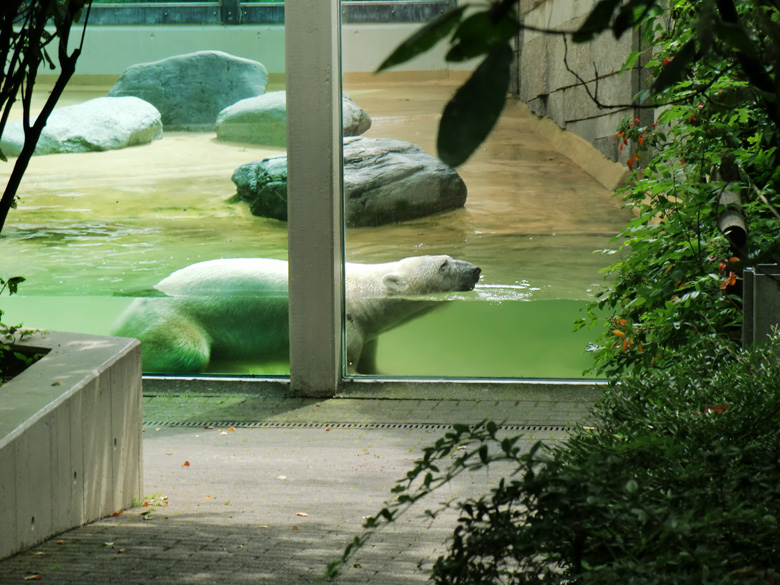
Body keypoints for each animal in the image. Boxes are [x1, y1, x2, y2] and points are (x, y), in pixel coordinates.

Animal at [112, 254, 478, 374]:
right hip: (171, 318)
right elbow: (349, 362)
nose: (475, 269)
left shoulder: (366, 329)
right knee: (190, 351)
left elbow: (370, 358)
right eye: (444, 264)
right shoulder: (348, 324)